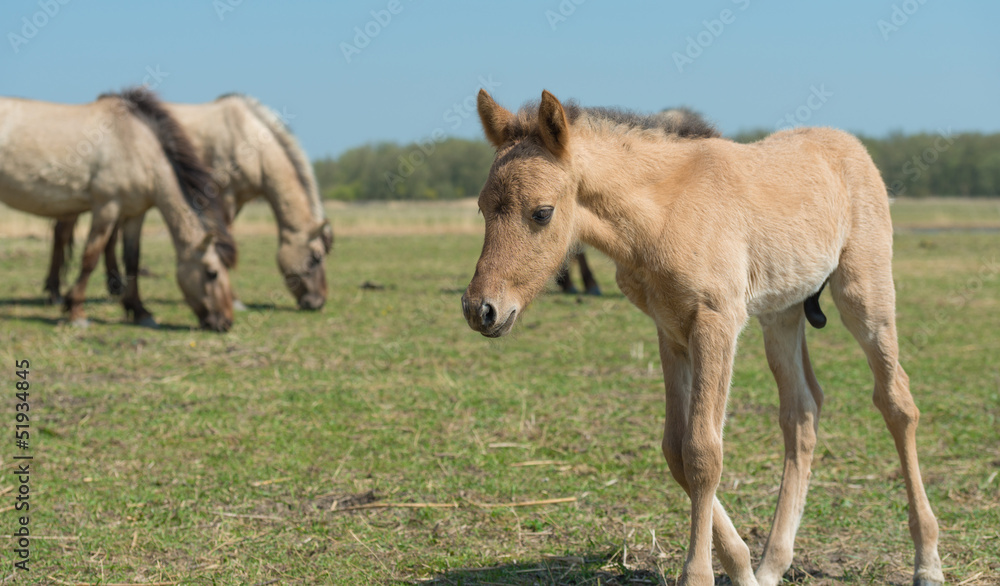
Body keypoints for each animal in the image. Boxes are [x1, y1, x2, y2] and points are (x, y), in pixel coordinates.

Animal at [0, 88, 236, 331]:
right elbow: (90, 257)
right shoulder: (107, 207)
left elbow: (132, 260)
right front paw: (76, 311)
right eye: (212, 273)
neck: (135, 145)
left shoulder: (134, 214)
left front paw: (139, 311)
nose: (226, 322)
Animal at [44, 93, 333, 311]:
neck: (249, 137)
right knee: (62, 233)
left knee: (107, 236)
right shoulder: (226, 196)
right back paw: (55, 292)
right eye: (315, 258)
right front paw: (234, 299)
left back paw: (114, 287)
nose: (317, 302)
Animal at [461, 90, 943, 586]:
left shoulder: (715, 323)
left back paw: (927, 559)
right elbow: (675, 450)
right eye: (481, 207)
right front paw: (742, 566)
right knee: (801, 411)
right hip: (782, 314)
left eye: (542, 212)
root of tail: (848, 144)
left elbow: (702, 453)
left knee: (897, 403)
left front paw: (699, 573)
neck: (663, 213)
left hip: (864, 297)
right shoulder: (670, 331)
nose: (481, 309)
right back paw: (772, 562)